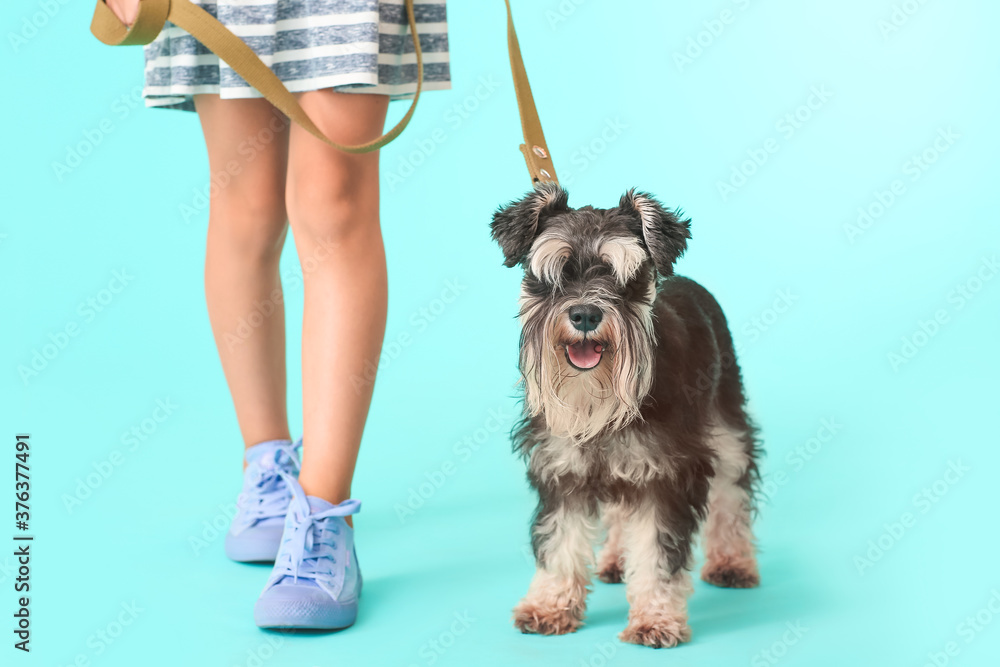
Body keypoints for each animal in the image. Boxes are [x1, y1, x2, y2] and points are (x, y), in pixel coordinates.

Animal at [488, 183, 760, 648]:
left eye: (624, 278)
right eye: (556, 273)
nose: (584, 314)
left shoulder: (667, 476)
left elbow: (656, 552)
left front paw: (656, 619)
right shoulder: (564, 473)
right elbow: (558, 543)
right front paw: (549, 606)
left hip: (727, 431)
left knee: (731, 496)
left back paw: (732, 563)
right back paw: (615, 559)